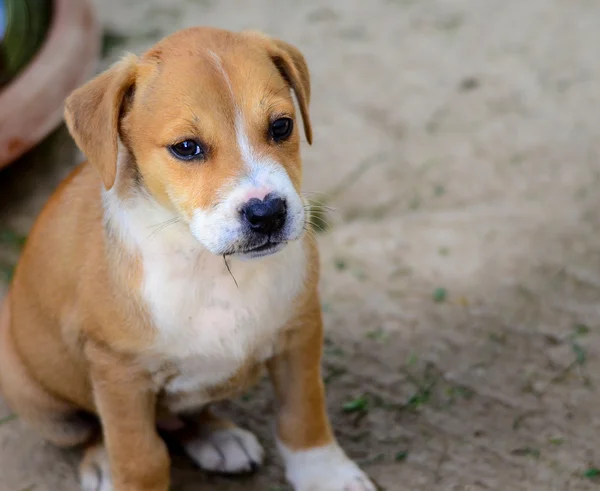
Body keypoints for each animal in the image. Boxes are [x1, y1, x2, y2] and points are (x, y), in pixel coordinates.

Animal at [0, 26, 376, 491]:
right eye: (186, 148)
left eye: (282, 126)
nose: (267, 212)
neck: (209, 265)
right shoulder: (120, 373)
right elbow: (140, 456)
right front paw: (125, 471)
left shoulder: (299, 332)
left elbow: (304, 410)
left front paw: (326, 472)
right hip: (38, 395)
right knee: (90, 431)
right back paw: (103, 462)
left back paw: (217, 437)